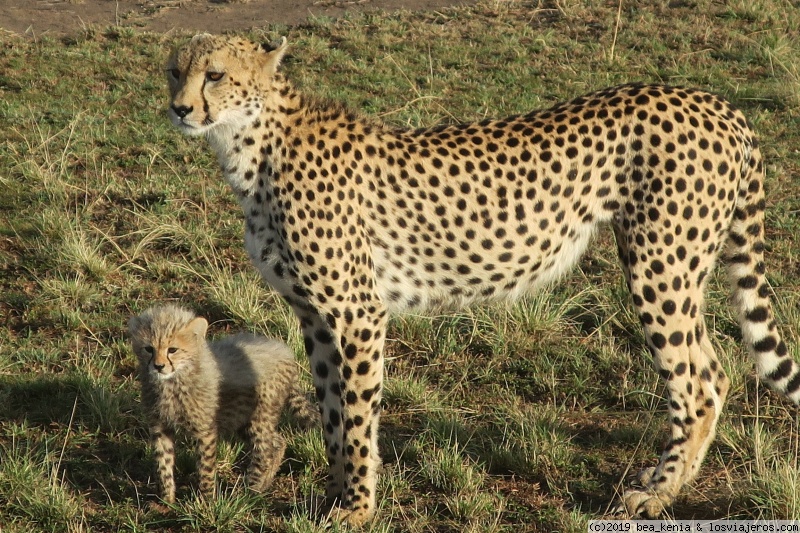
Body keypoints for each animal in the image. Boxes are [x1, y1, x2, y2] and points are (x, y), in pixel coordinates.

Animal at [128, 303, 317, 504]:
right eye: (148, 349)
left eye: (172, 349)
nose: (158, 366)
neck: (173, 381)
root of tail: (284, 351)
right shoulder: (159, 426)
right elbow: (163, 464)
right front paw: (167, 500)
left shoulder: (205, 430)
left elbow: (205, 468)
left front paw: (206, 502)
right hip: (242, 418)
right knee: (278, 442)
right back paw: (263, 484)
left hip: (259, 417)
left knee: (264, 450)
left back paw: (249, 491)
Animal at [164, 33, 800, 524]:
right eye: (175, 71)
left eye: (215, 75)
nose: (179, 110)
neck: (254, 147)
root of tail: (716, 102)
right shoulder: (316, 316)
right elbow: (331, 411)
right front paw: (335, 494)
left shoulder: (358, 313)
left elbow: (357, 416)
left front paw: (359, 508)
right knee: (714, 371)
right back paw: (665, 480)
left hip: (659, 267)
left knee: (701, 382)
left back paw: (658, 494)